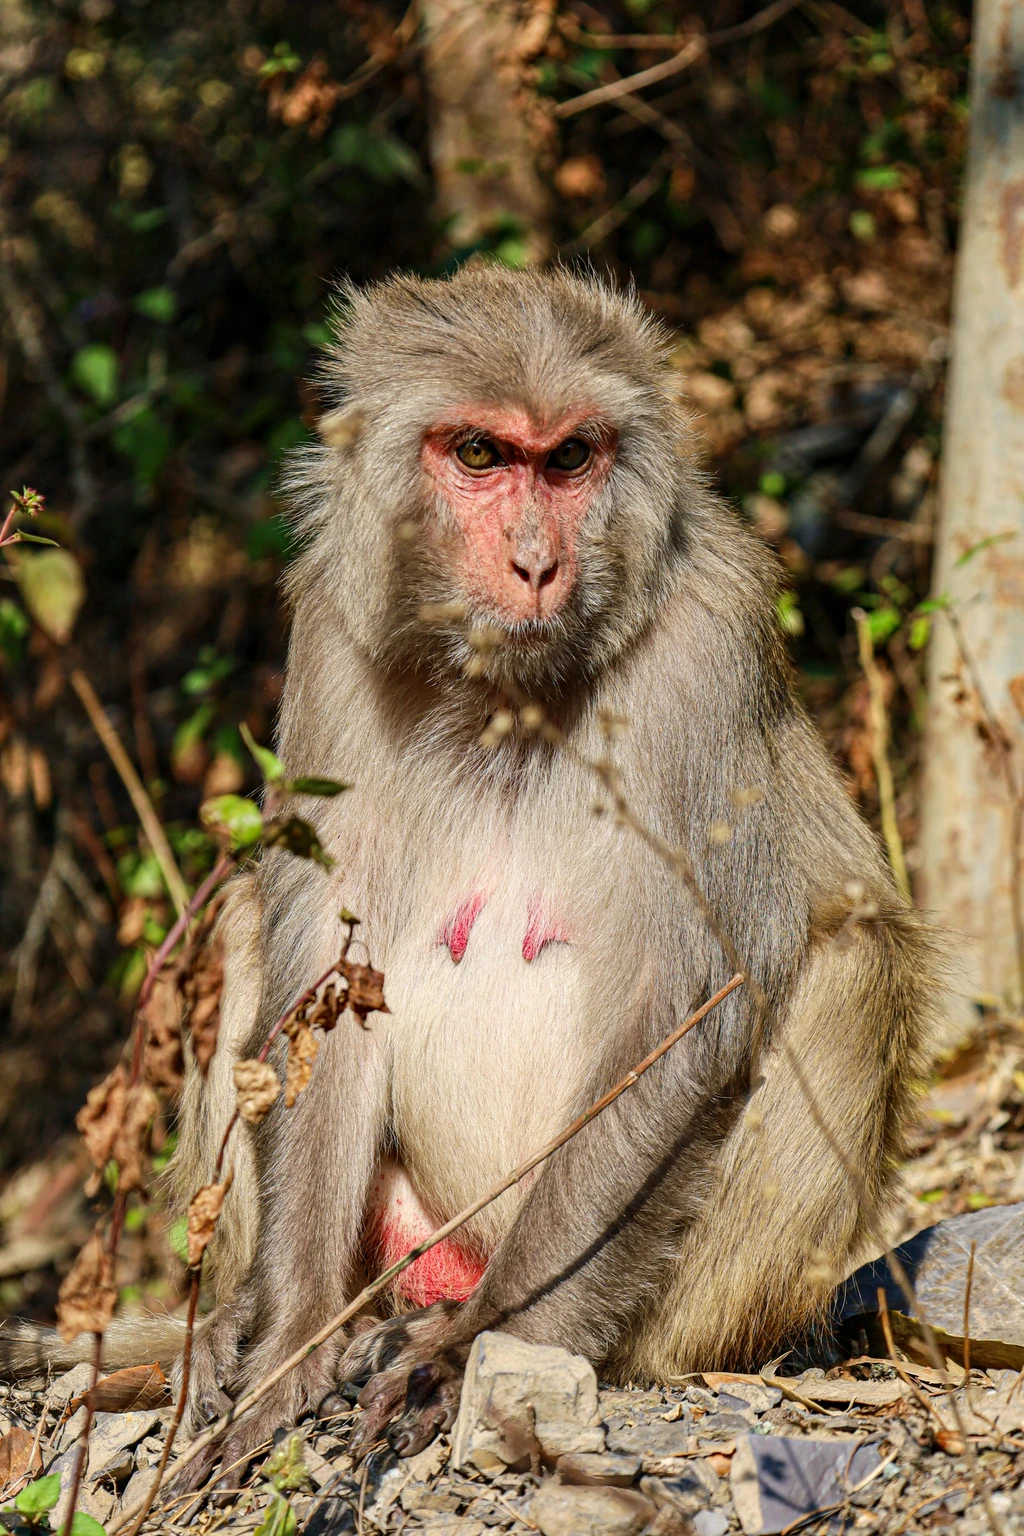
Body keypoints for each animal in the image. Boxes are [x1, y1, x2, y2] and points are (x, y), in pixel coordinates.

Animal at [0, 266, 936, 1482]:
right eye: (481, 455)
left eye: (570, 458)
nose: (537, 563)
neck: (508, 689)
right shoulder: (332, 638)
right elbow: (324, 974)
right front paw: (289, 1346)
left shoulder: (710, 642)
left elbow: (691, 1002)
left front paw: (474, 1347)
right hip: (404, 1238)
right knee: (245, 916)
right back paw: (246, 1325)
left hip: (676, 1297)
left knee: (853, 963)